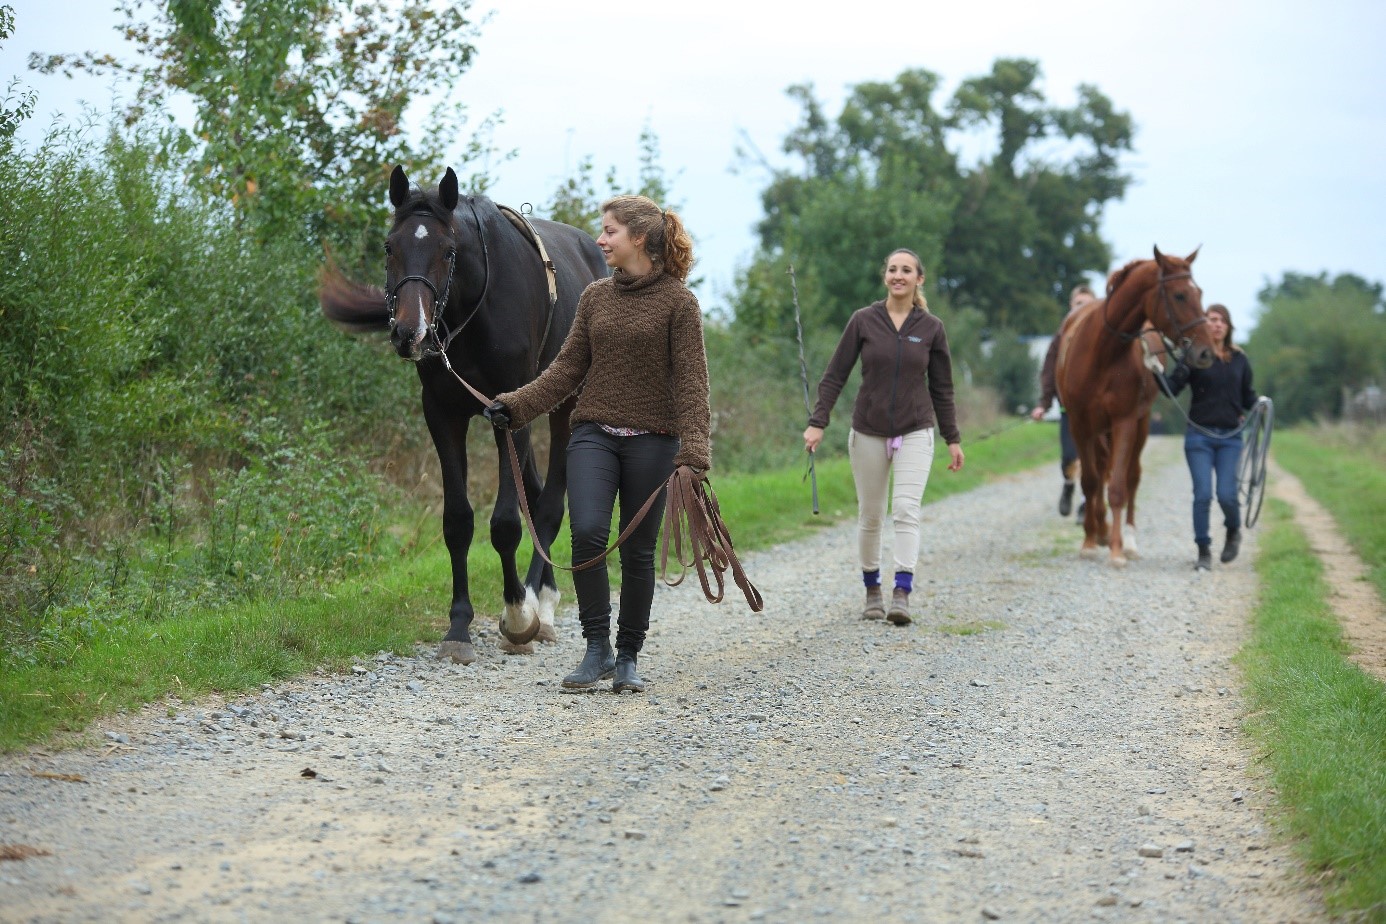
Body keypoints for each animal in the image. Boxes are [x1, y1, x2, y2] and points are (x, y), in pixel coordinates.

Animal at [327, 164, 609, 656]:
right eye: (389, 246)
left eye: (448, 250)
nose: (409, 332)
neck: (478, 305)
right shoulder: (442, 414)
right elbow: (458, 521)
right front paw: (458, 626)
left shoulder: (510, 412)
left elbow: (507, 523)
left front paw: (517, 615)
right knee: (537, 496)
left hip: (565, 405)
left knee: (549, 506)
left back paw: (541, 605)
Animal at [1058, 245, 1214, 567]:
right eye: (1180, 295)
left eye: (1200, 292)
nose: (1206, 352)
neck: (1104, 351)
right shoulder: (1080, 425)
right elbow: (1090, 481)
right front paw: (1089, 542)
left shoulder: (1125, 422)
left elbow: (1118, 485)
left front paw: (1117, 550)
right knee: (1100, 473)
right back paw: (1101, 529)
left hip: (1139, 425)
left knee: (1131, 476)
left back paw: (1127, 539)